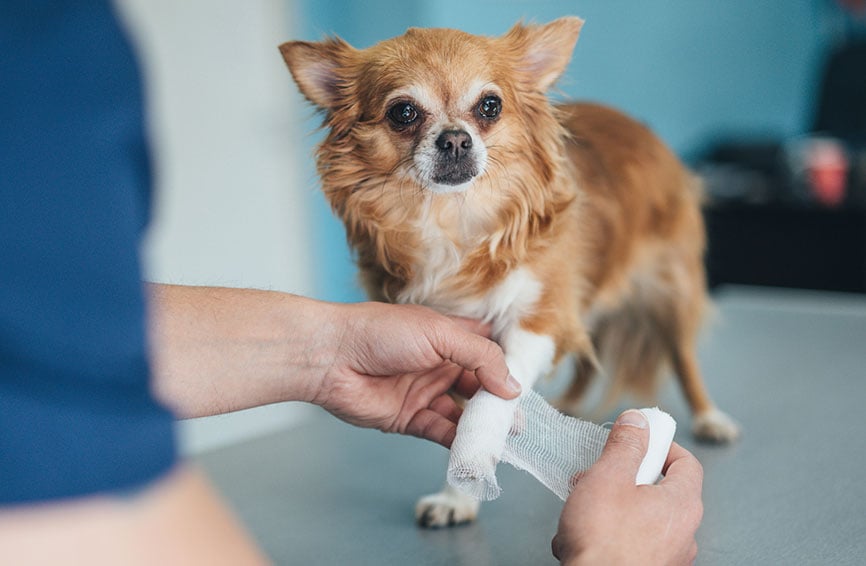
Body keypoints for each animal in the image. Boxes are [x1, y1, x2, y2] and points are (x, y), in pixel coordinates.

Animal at [282, 17, 736, 532]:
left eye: (490, 106)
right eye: (403, 112)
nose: (455, 139)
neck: (453, 220)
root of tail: (636, 125)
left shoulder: (537, 317)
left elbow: (491, 396)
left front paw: (474, 467)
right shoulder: (453, 336)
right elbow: (466, 415)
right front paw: (460, 493)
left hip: (669, 290)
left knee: (681, 356)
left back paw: (709, 418)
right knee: (588, 354)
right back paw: (569, 404)